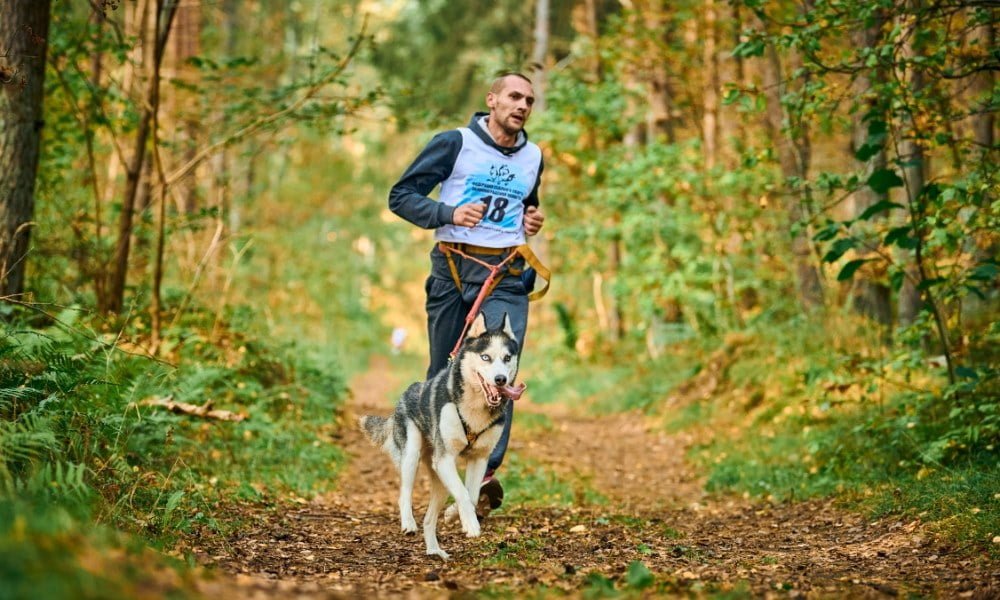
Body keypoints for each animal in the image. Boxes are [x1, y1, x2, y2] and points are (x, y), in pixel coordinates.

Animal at [360, 312, 524, 560]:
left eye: (507, 358)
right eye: (485, 357)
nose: (500, 379)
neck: (474, 407)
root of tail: (408, 392)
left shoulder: (479, 458)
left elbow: (471, 495)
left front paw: (455, 514)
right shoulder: (446, 458)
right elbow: (463, 494)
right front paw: (470, 524)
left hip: (439, 478)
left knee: (430, 518)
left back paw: (434, 550)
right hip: (412, 454)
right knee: (404, 493)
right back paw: (408, 523)